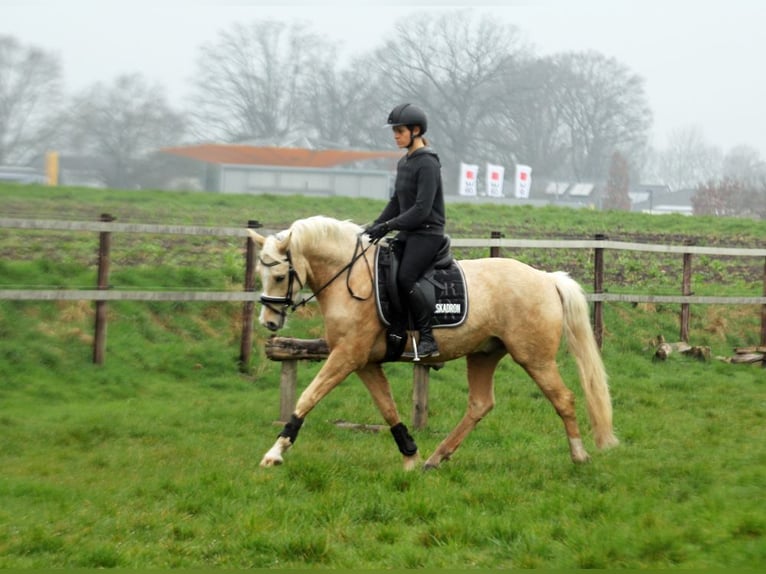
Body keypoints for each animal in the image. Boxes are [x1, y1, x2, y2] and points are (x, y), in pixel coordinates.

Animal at [250, 216, 616, 472]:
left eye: (280, 276)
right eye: (260, 275)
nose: (269, 323)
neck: (351, 279)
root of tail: (546, 278)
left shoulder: (346, 356)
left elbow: (308, 397)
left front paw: (274, 453)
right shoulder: (363, 361)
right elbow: (387, 408)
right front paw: (410, 457)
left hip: (534, 358)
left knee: (563, 399)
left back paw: (579, 455)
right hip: (483, 354)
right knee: (480, 405)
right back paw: (436, 458)